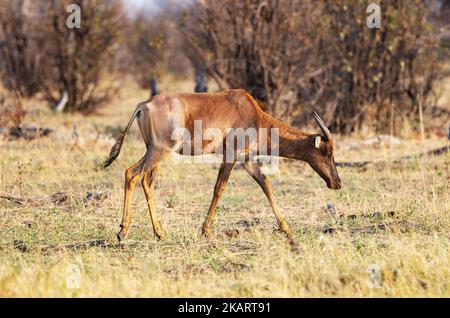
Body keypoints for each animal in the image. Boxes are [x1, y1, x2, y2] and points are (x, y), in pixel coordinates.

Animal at [104, 89, 342, 243]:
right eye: (327, 152)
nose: (337, 183)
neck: (250, 110)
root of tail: (144, 105)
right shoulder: (231, 155)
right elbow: (219, 188)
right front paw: (206, 231)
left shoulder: (246, 160)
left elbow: (266, 184)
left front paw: (286, 229)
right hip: (160, 150)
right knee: (132, 174)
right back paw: (122, 231)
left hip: (154, 151)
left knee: (147, 181)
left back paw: (159, 233)